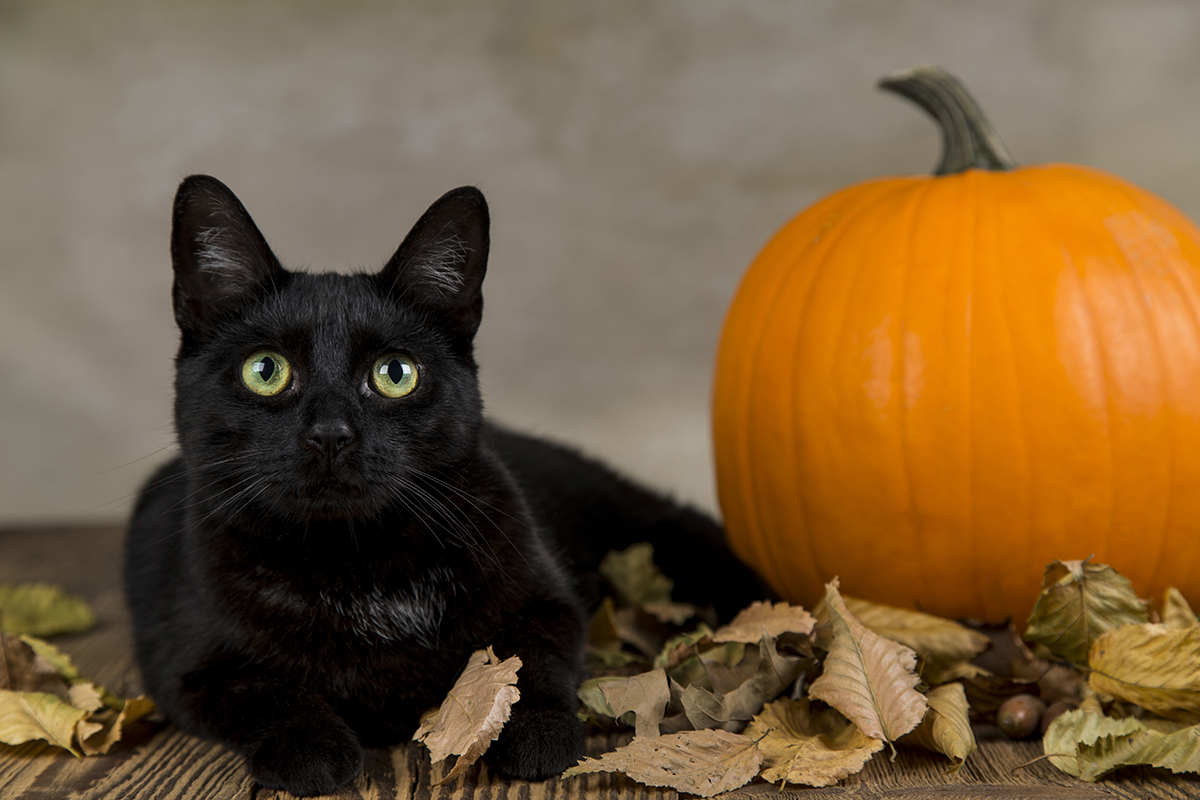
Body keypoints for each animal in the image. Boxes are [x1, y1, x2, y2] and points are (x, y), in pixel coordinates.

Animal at [124, 176, 768, 800]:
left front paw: (538, 735)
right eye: (265, 370)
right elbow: (263, 690)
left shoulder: (548, 601)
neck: (358, 562)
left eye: (395, 374)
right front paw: (311, 751)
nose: (330, 433)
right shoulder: (186, 664)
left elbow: (527, 659)